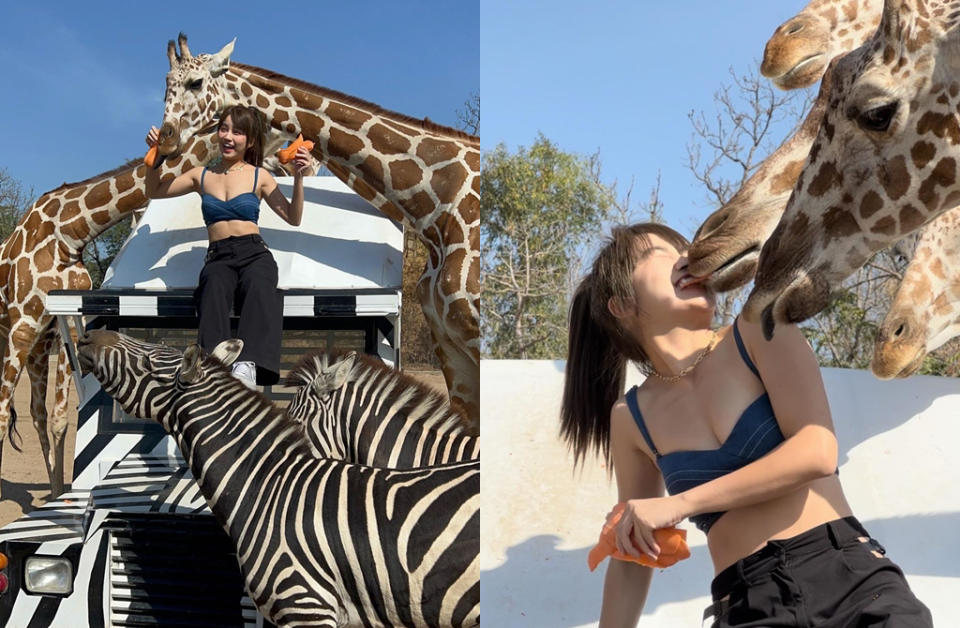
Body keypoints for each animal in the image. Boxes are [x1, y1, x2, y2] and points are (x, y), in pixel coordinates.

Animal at [0, 109, 308, 500]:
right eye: (270, 138)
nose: (291, 163)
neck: (71, 231)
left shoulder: (61, 322)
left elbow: (57, 419)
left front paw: (57, 496)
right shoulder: (23, 322)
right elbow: (1, 416)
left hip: (40, 345)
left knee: (39, 413)